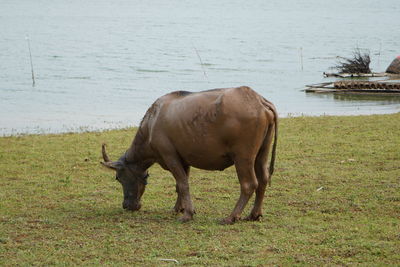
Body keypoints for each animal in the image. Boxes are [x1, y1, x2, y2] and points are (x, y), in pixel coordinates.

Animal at [101, 87, 276, 225]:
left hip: (243, 157)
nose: (126, 205)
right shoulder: (184, 160)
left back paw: (231, 217)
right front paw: (179, 208)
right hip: (261, 155)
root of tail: (259, 100)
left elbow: (183, 184)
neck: (152, 123)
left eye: (118, 178)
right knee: (263, 179)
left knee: (249, 184)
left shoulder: (170, 156)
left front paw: (187, 214)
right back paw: (254, 214)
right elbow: (180, 185)